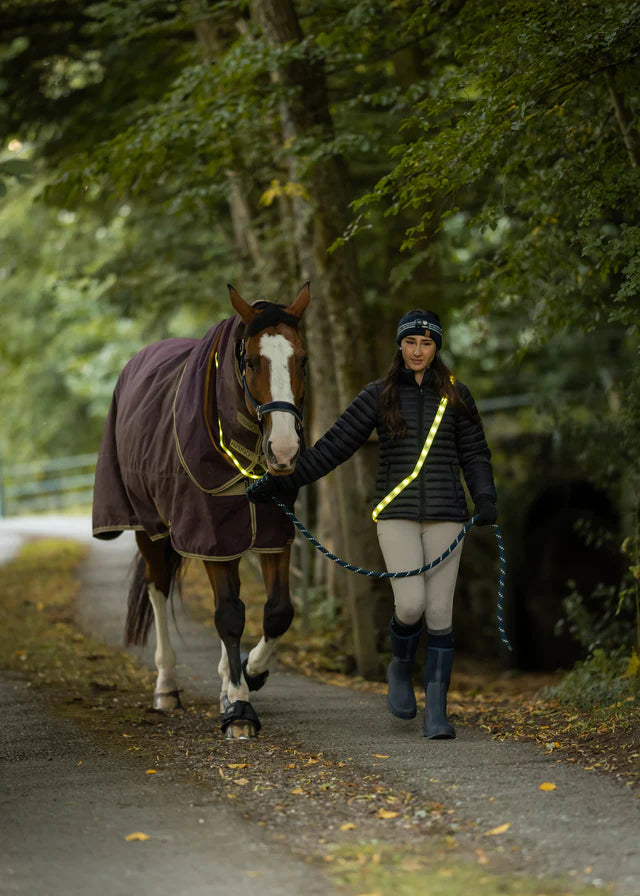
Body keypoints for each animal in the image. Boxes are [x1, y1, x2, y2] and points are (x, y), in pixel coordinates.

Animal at [92, 283, 310, 738]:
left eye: (301, 359)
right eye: (251, 361)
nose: (283, 450)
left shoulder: (272, 531)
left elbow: (278, 611)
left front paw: (249, 674)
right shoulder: (211, 534)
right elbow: (228, 615)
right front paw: (240, 709)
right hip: (150, 527)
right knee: (158, 589)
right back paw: (167, 687)